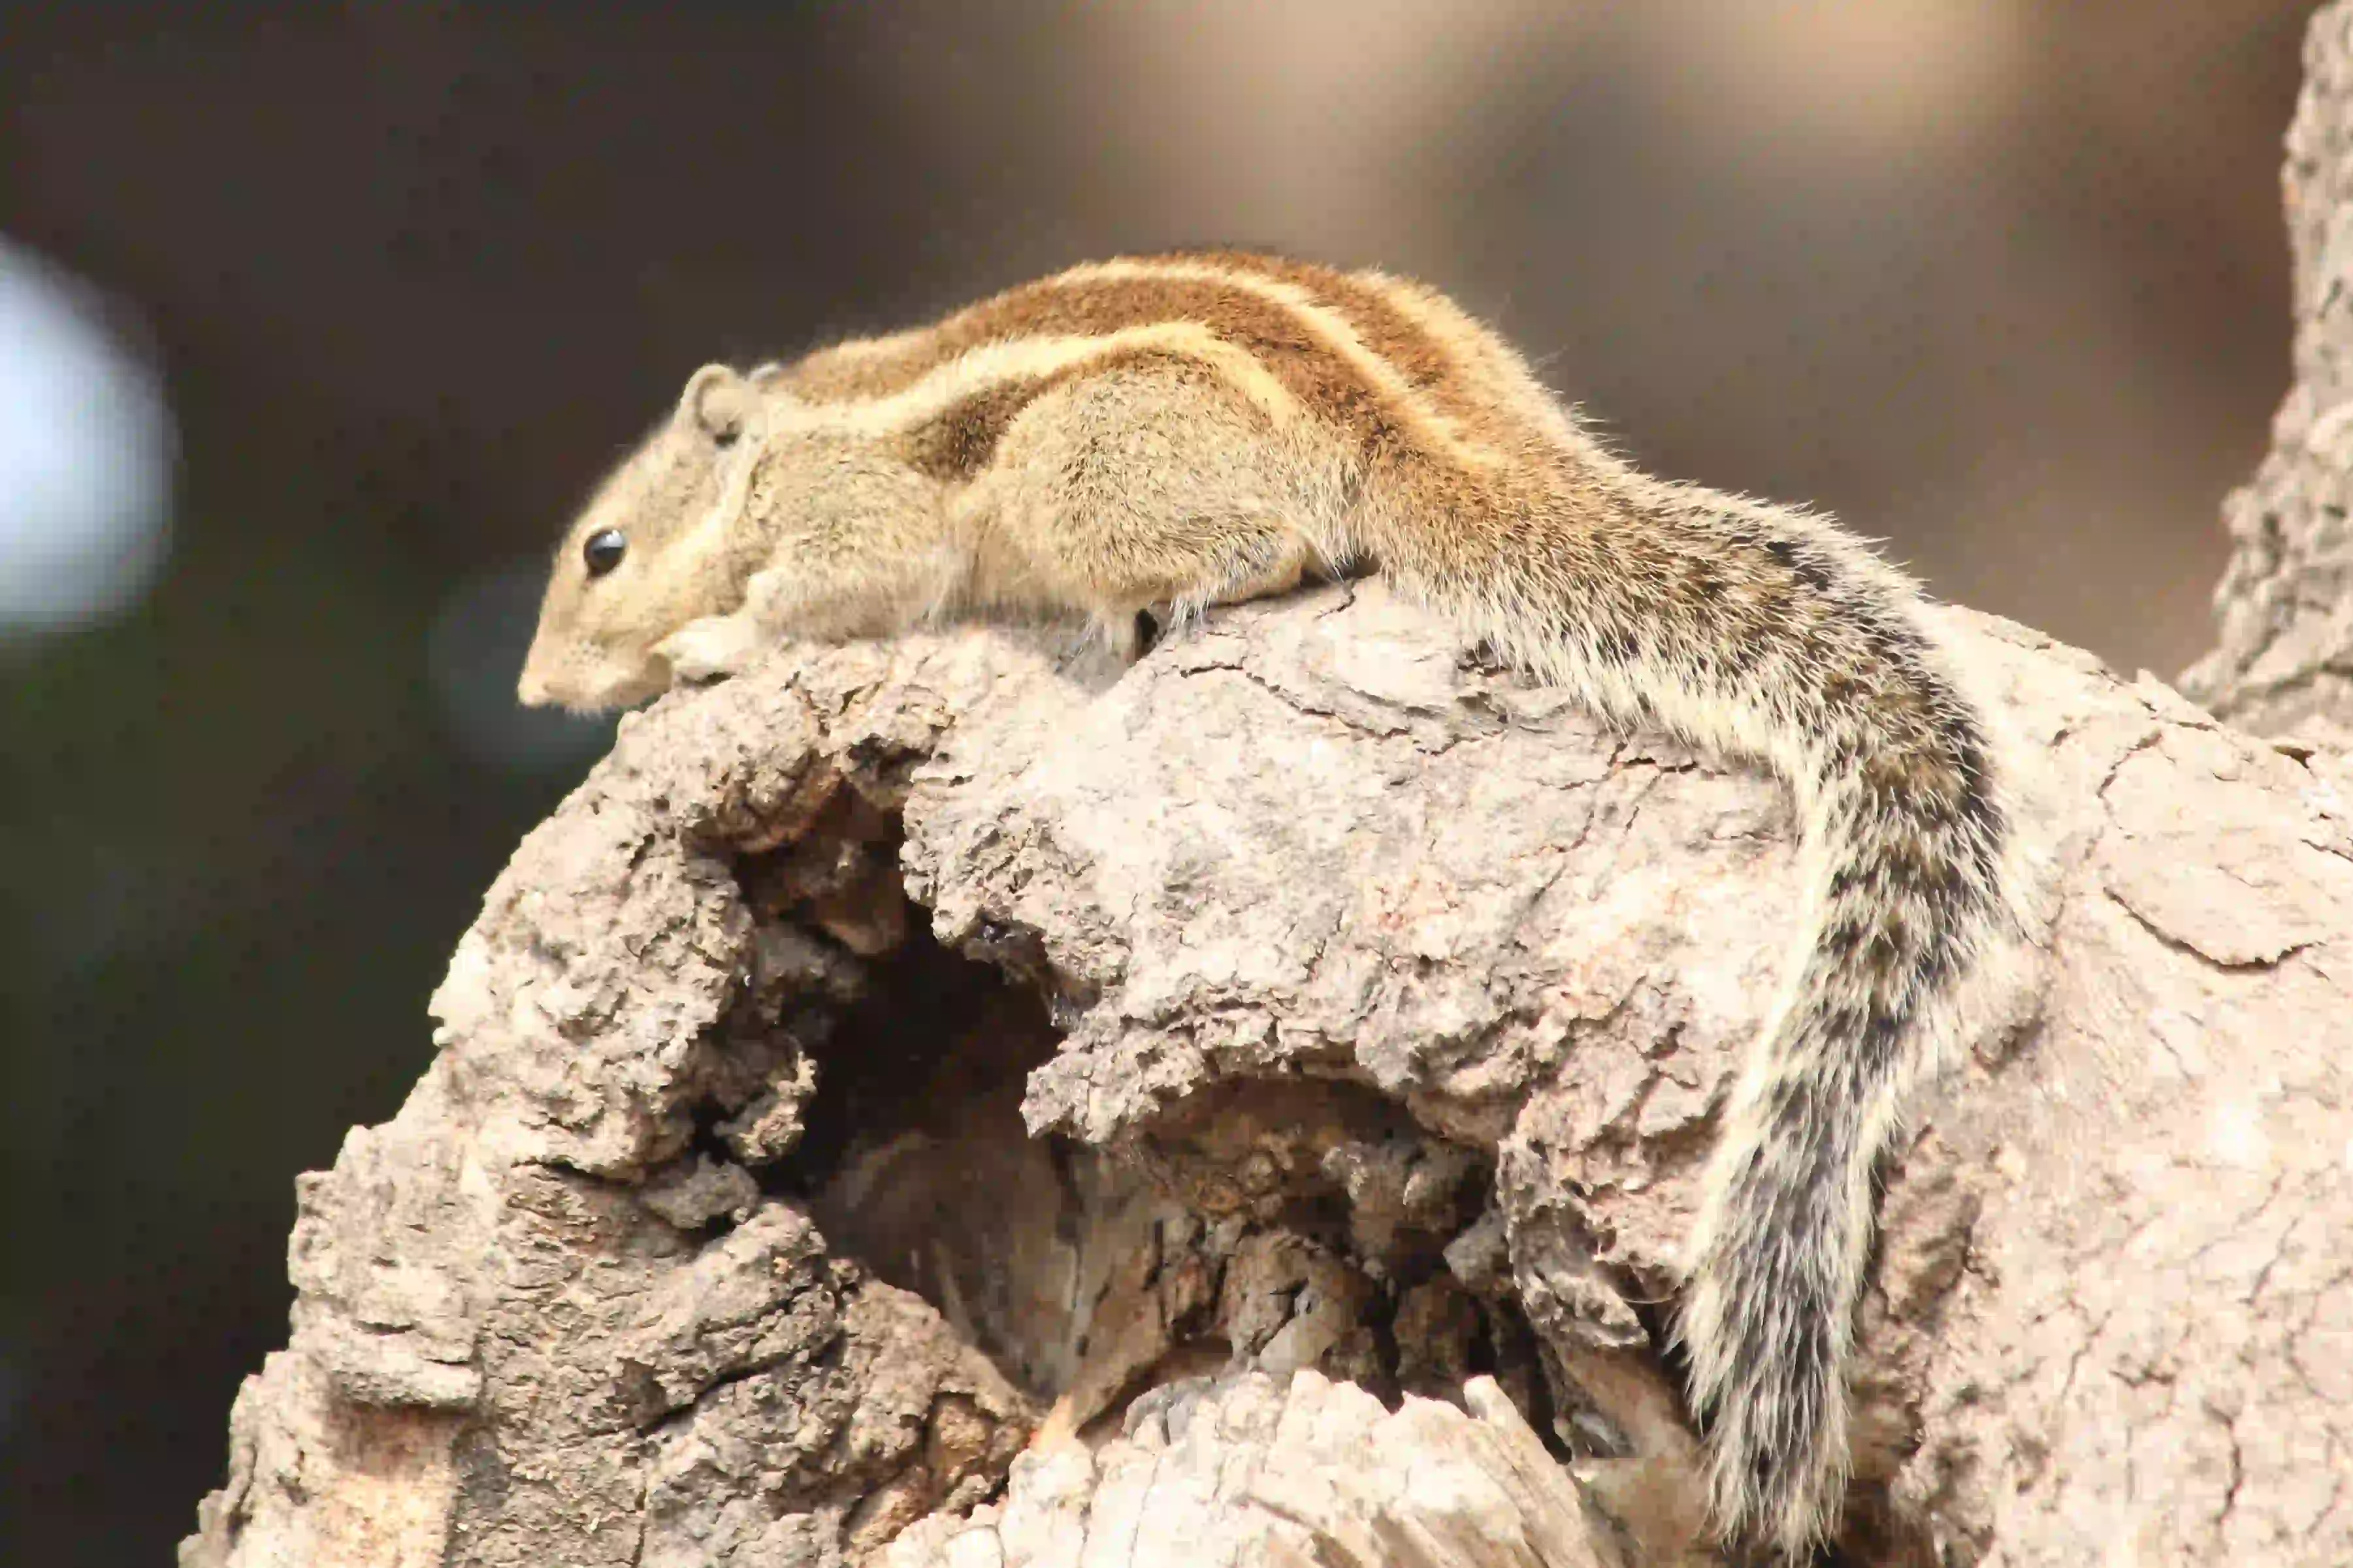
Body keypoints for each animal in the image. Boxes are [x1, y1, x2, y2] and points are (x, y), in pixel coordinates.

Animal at [518, 251, 2026, 1561]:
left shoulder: (853, 523)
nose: (535, 689)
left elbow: (823, 599)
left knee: (1276, 544)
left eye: (602, 549)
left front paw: (707, 643)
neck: (776, 443)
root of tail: (1424, 424)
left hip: (1078, 473)